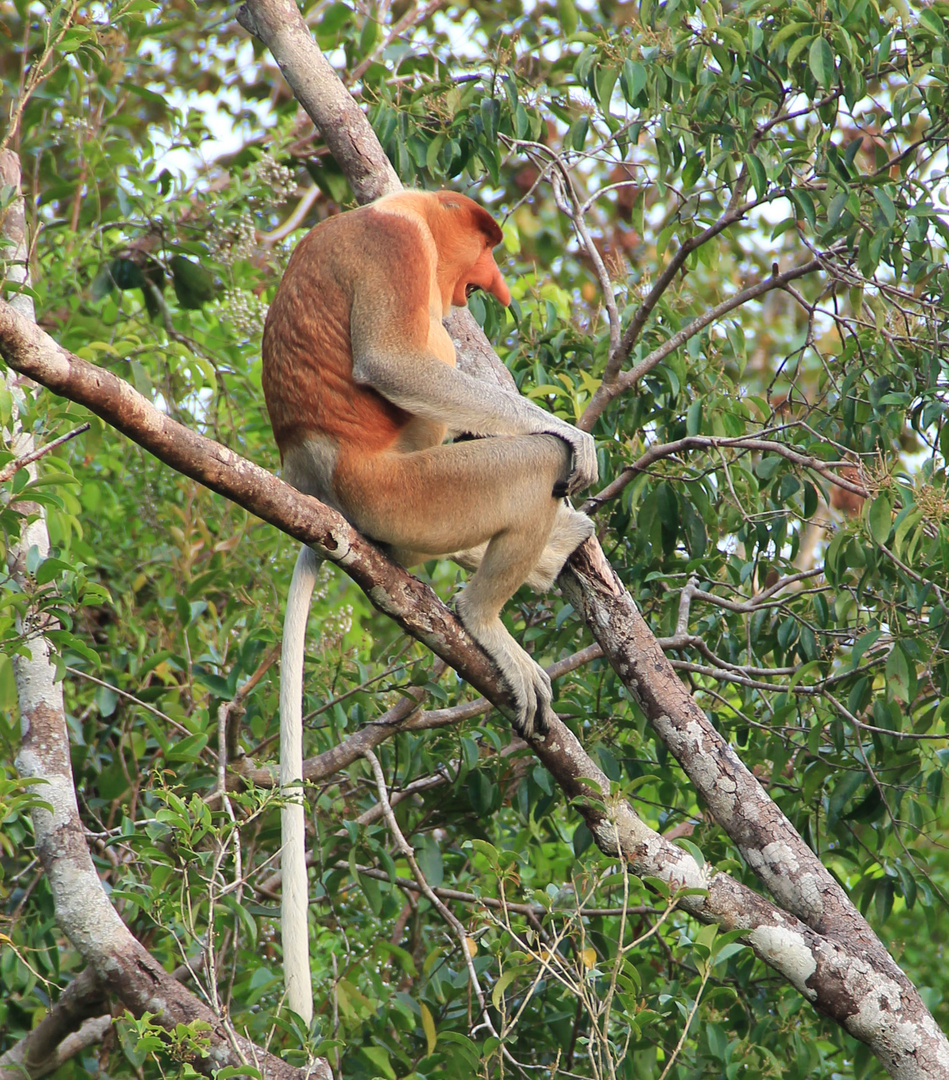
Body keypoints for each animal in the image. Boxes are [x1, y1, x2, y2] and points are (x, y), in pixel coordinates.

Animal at [258, 190, 600, 1023]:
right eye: (485, 246)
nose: (489, 288)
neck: (396, 211)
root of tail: (322, 491)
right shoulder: (394, 251)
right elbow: (394, 363)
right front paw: (573, 435)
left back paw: (555, 550)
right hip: (408, 490)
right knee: (520, 459)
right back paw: (490, 619)